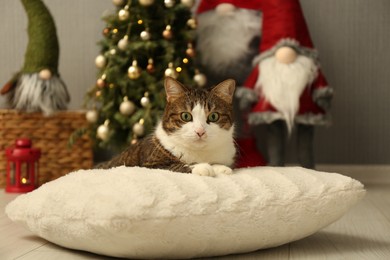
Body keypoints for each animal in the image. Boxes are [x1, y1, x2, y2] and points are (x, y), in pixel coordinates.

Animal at [97, 75, 238, 177]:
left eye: (213, 116)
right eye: (185, 116)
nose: (200, 131)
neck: (200, 153)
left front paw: (221, 168)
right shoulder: (149, 165)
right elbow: (174, 166)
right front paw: (201, 167)